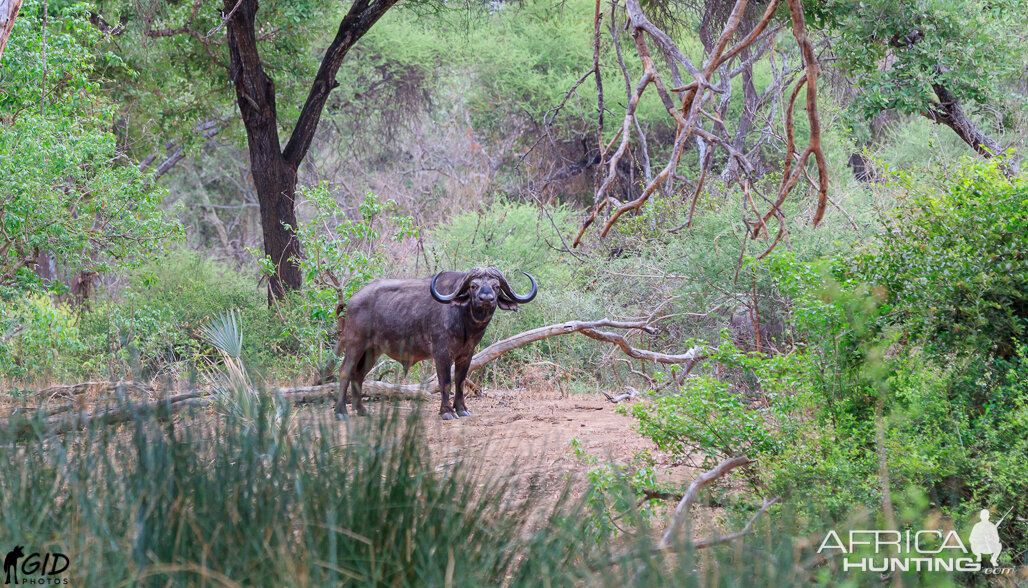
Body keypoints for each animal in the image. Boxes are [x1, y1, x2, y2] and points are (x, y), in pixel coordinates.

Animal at [335, 267, 538, 417]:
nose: (486, 299)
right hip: (355, 343)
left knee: (359, 374)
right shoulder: (441, 352)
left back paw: (361, 410)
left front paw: (462, 409)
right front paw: (446, 411)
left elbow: (460, 381)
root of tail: (352, 300)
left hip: (372, 350)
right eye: (473, 286)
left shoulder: (467, 354)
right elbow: (445, 382)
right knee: (345, 371)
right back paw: (341, 411)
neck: (464, 321)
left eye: (496, 286)